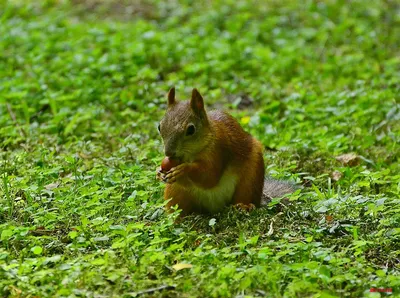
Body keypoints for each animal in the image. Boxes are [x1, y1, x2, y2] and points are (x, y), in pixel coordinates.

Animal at [158, 87, 296, 215]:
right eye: (159, 126)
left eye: (191, 129)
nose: (168, 153)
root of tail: (215, 209)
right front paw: (159, 172)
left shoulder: (219, 149)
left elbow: (209, 177)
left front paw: (183, 170)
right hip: (175, 192)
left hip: (250, 178)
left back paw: (244, 206)